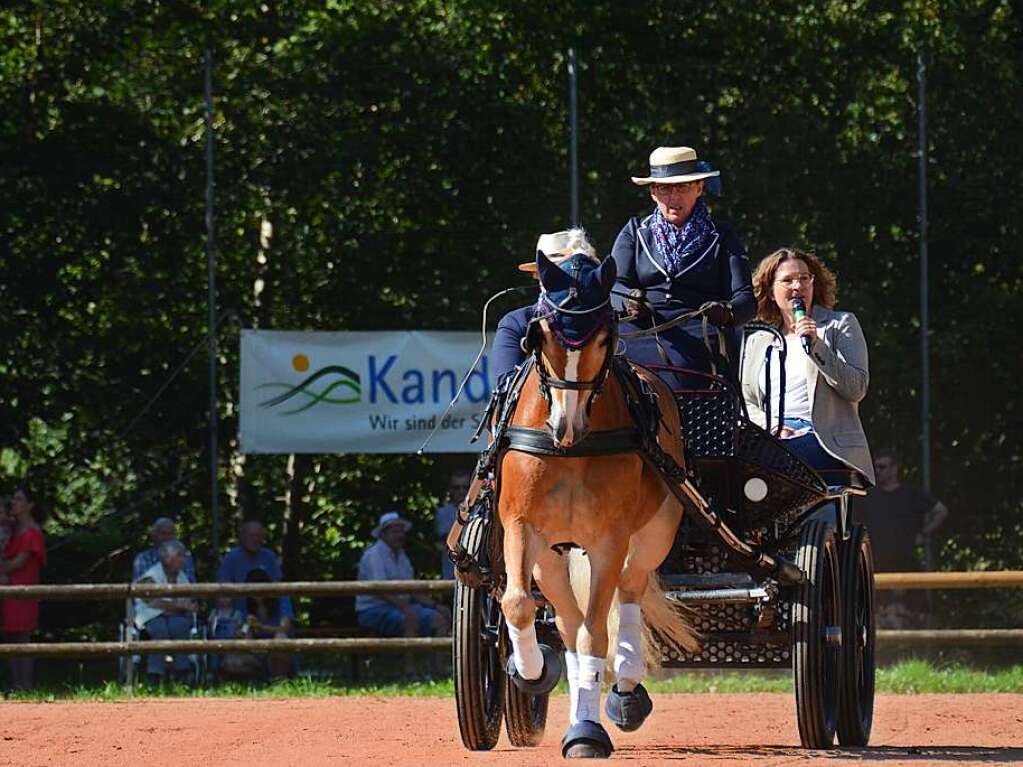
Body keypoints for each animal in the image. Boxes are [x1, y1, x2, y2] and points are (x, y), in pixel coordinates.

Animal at [495, 231, 695, 760]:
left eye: (605, 337)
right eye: (538, 334)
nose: (567, 425)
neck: (569, 452)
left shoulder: (609, 539)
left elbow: (594, 634)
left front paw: (586, 732)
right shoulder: (521, 528)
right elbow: (518, 605)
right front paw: (531, 671)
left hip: (654, 532)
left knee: (627, 591)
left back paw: (625, 688)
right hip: (551, 553)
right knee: (565, 619)